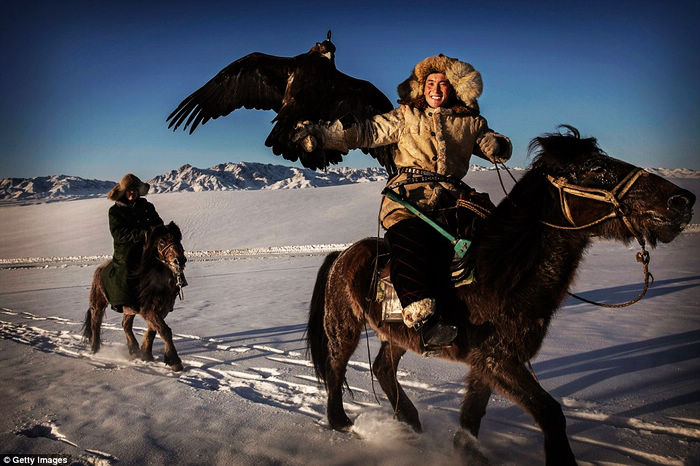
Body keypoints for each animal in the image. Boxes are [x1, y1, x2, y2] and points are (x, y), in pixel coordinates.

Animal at [82, 221, 187, 372]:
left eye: (179, 239)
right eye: (162, 241)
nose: (180, 260)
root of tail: (99, 269)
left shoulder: (161, 309)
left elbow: (153, 330)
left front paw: (146, 354)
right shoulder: (148, 309)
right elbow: (164, 330)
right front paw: (174, 361)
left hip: (128, 309)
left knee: (125, 324)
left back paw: (134, 350)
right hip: (98, 304)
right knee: (95, 324)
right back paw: (96, 351)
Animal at [306, 125, 696, 464]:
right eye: (596, 168)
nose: (683, 200)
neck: (498, 271)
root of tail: (342, 255)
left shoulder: (488, 361)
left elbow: (472, 415)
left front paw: (466, 453)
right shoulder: (499, 359)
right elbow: (551, 414)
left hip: (399, 333)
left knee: (383, 367)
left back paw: (410, 423)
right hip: (344, 325)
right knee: (337, 367)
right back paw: (342, 422)